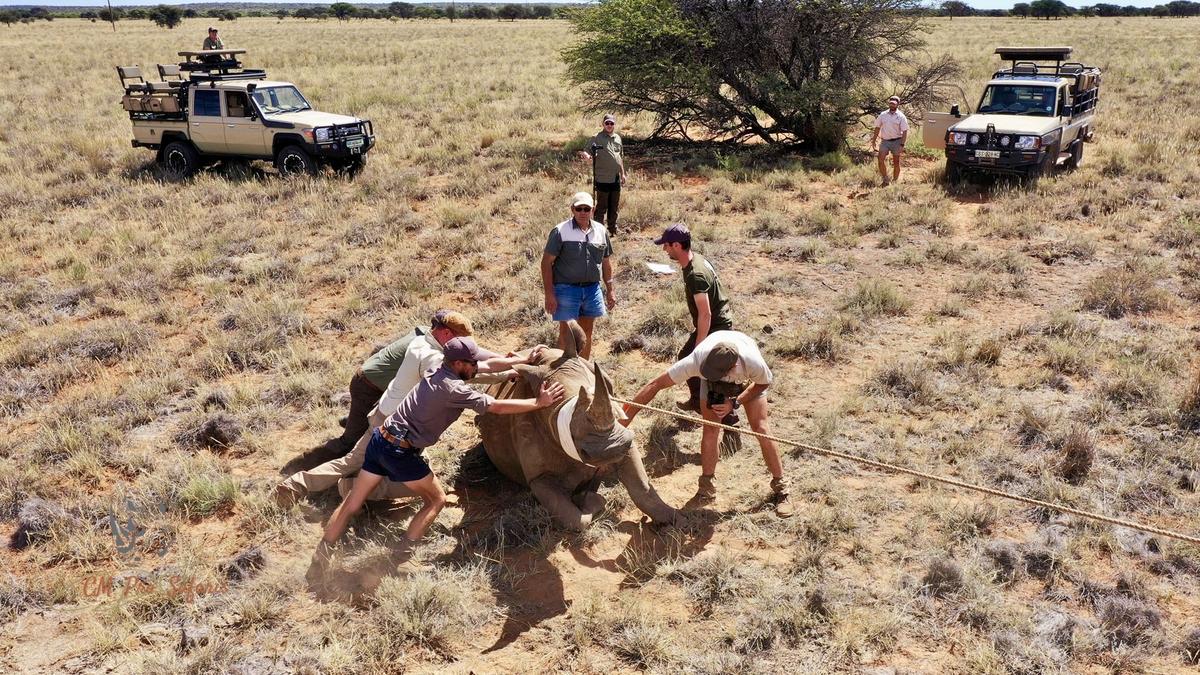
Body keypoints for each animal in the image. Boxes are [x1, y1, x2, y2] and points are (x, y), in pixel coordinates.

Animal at [475, 321, 676, 530]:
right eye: (566, 424)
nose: (613, 448)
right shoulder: (538, 476)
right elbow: (574, 519)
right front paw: (593, 500)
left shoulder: (625, 438)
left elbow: (641, 486)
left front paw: (674, 520)